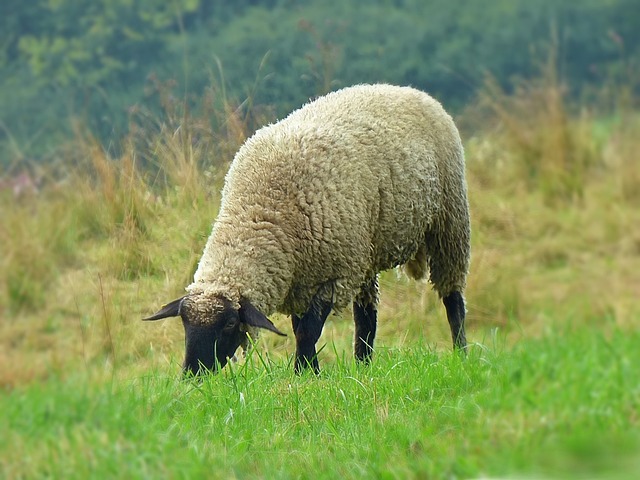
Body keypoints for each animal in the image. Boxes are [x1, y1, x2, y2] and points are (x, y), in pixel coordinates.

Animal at [144, 83, 471, 375]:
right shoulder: (299, 281)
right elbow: (301, 329)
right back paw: (362, 364)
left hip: (449, 221)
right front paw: (310, 371)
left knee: (452, 298)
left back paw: (461, 353)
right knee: (366, 314)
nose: (192, 375)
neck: (260, 214)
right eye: (184, 322)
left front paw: (303, 372)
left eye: (229, 324)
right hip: (365, 248)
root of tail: (407, 90)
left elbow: (308, 332)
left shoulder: (333, 276)